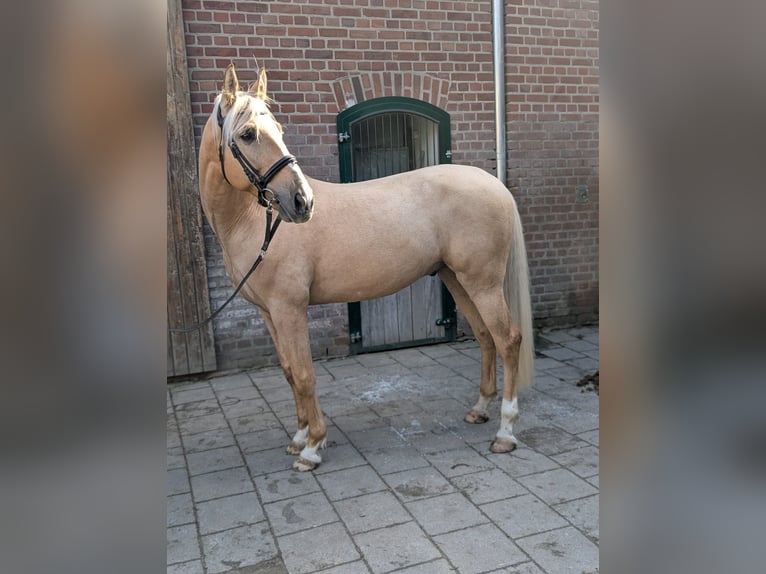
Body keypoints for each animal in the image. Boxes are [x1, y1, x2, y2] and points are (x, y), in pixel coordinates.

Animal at [198, 64, 534, 471]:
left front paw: (312, 447)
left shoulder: (289, 309)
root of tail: (495, 185)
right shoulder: (268, 312)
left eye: (277, 129)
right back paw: (480, 408)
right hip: (456, 278)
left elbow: (305, 375)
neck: (255, 222)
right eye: (247, 134)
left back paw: (506, 431)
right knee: (486, 336)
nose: (302, 202)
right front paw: (298, 438)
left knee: (508, 340)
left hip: (482, 283)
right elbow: (290, 372)